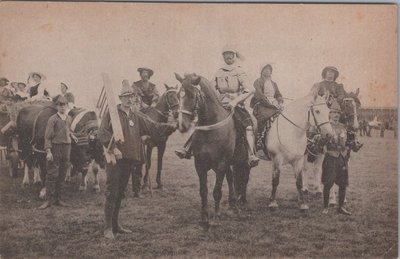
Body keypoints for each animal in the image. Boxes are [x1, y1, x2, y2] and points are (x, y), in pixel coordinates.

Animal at [176, 73, 250, 228]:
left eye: (192, 95)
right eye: (178, 95)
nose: (181, 125)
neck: (211, 129)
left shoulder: (221, 164)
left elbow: (216, 191)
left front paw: (216, 218)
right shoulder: (200, 164)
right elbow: (203, 191)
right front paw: (204, 217)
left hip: (244, 162)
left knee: (243, 180)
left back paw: (241, 204)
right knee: (232, 179)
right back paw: (233, 205)